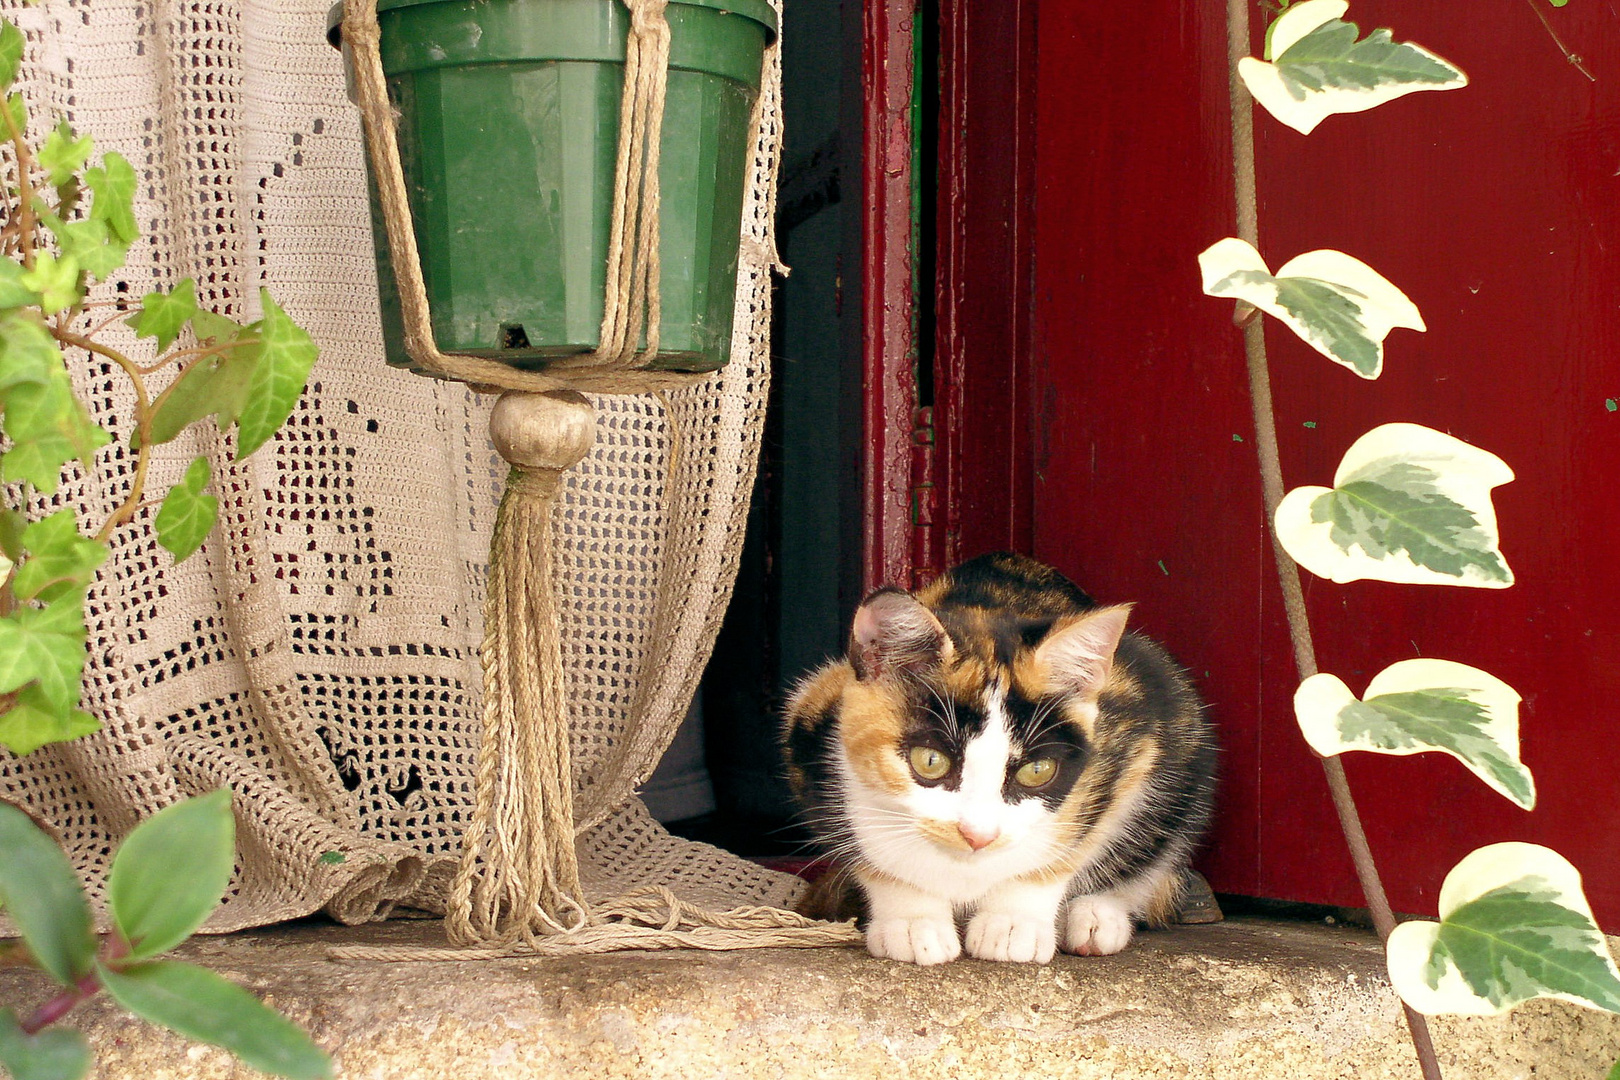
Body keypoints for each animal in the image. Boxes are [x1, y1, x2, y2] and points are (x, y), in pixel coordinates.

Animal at [784, 553, 1218, 965]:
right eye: (930, 761)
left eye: (1037, 771)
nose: (979, 835)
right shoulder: (813, 722)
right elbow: (866, 856)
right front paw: (912, 921)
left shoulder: (1125, 746)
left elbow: (1073, 844)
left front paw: (1012, 923)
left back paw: (1095, 917)